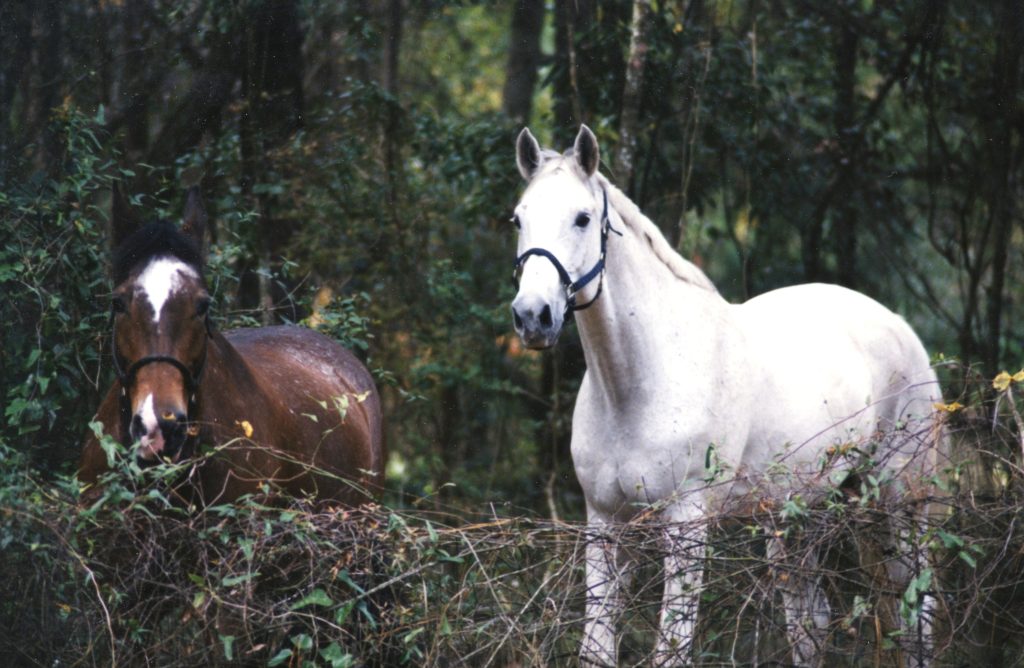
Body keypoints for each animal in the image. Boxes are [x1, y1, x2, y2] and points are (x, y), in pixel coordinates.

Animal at [509, 126, 942, 667]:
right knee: (811, 623)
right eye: (519, 218)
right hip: (799, 516)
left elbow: (671, 651)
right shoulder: (605, 523)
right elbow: (596, 648)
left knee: (917, 613)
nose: (533, 316)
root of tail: (900, 327)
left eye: (582, 218)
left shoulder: (687, 526)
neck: (637, 386)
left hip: (902, 501)